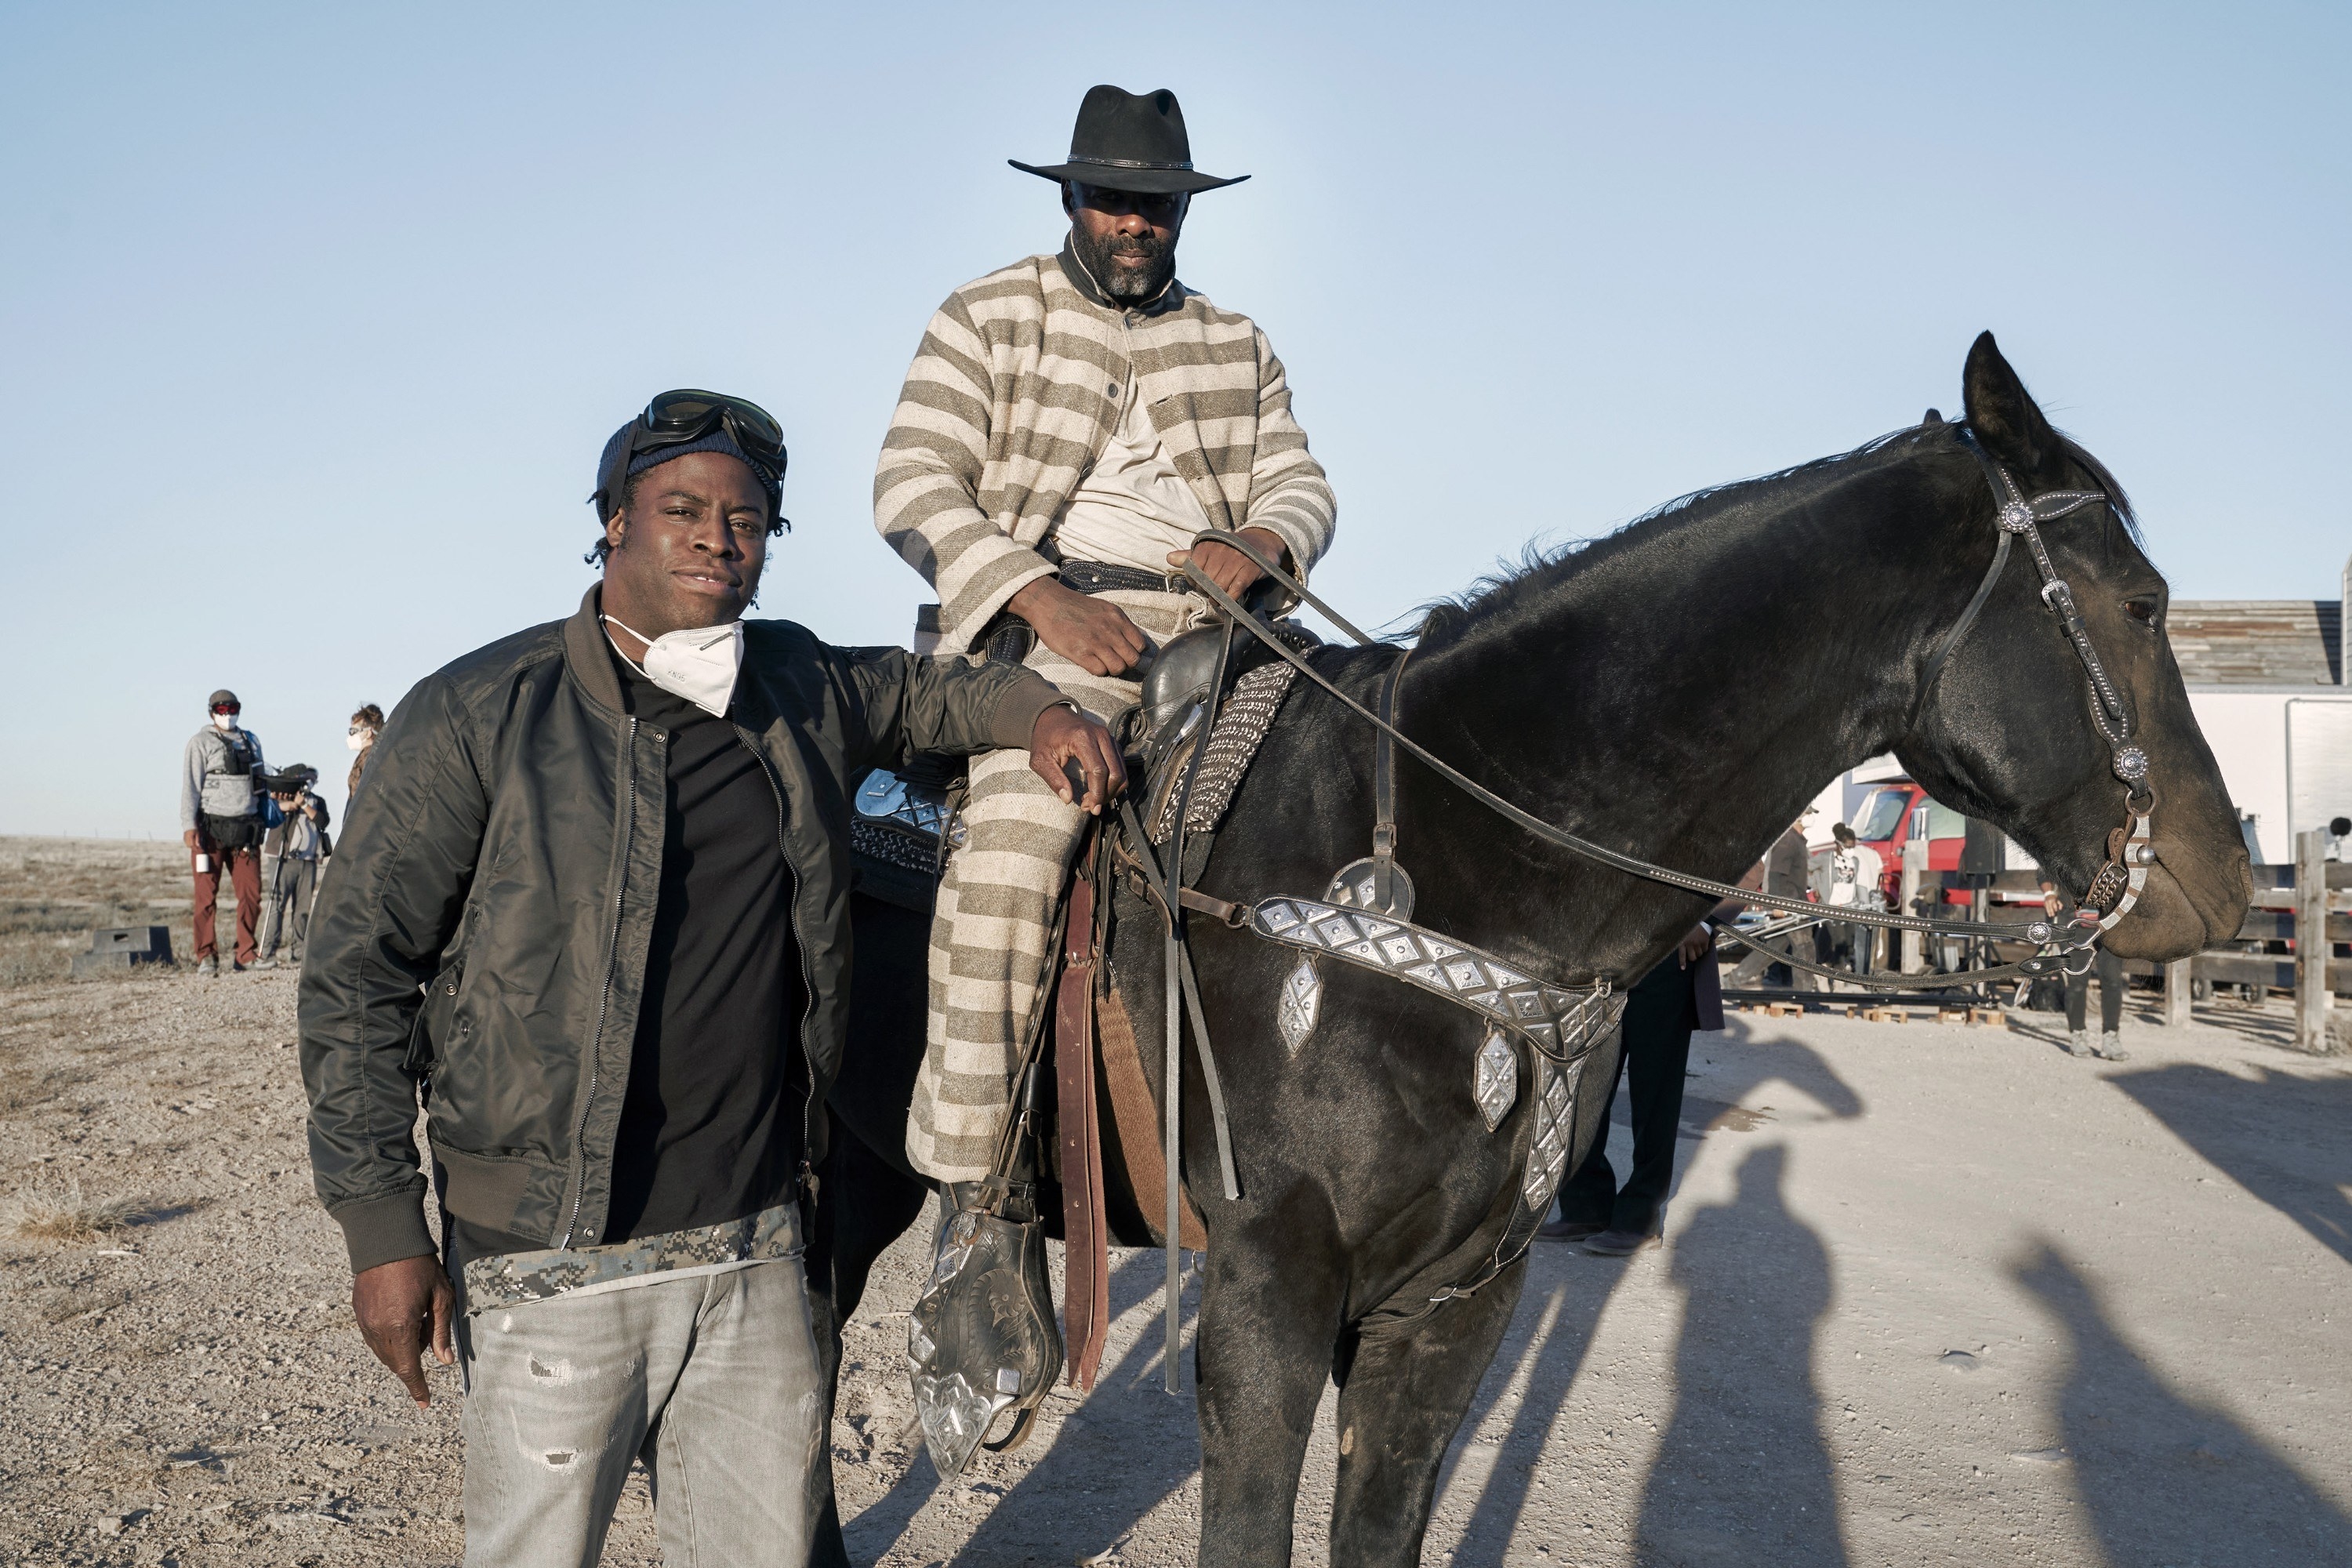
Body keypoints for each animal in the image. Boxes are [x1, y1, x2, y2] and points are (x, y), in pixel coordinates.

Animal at [804, 333, 2239, 1568]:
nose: (2220, 881)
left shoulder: (1453, 1303)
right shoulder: (1270, 1290)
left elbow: (1381, 1529)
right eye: (2142, 602)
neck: (1460, 861)